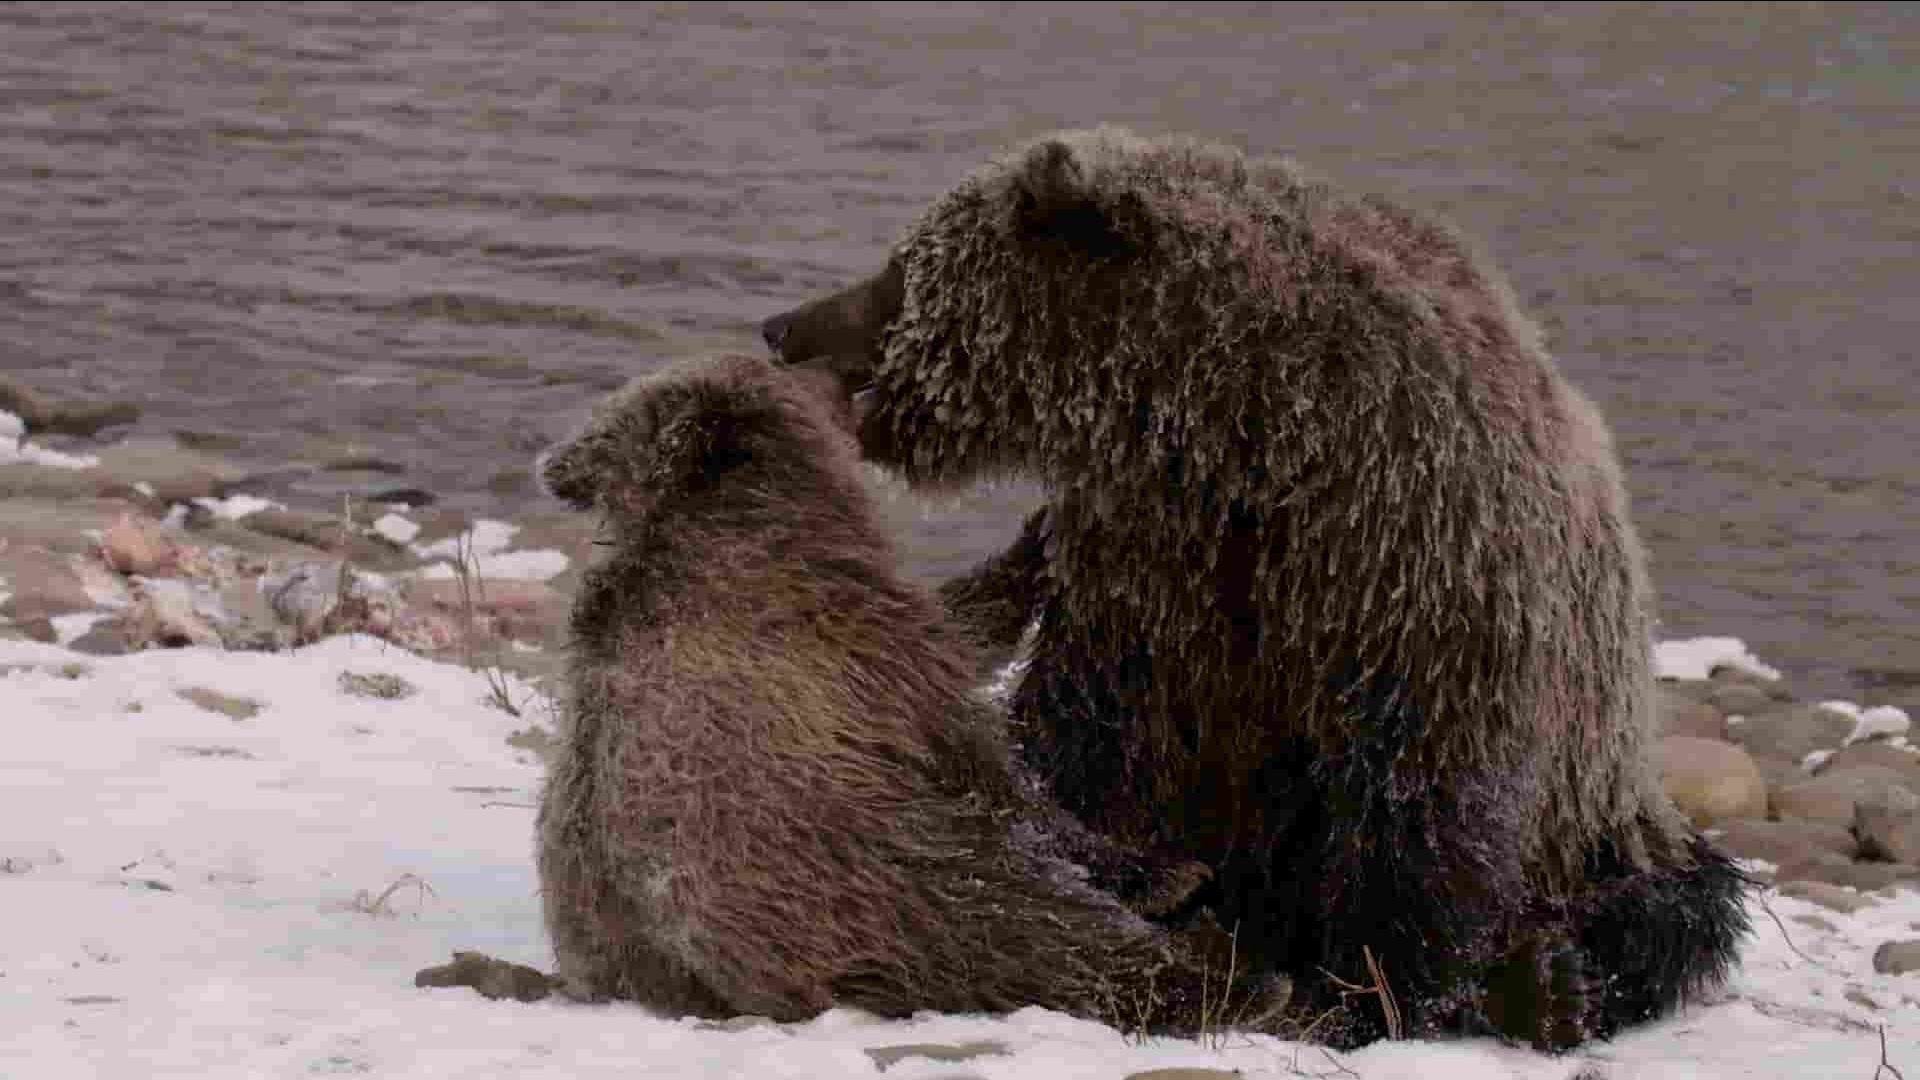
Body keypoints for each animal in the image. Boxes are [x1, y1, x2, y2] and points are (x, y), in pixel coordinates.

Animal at [533, 351, 1267, 1022]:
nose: (830, 367)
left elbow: (967, 627)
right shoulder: (860, 657)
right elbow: (997, 770)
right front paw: (1160, 871)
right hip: (864, 883)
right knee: (1025, 921)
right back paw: (1230, 983)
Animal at [756, 125, 1751, 1045]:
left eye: (902, 269)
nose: (782, 328)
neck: (1239, 426)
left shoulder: (1414, 545)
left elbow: (1420, 797)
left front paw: (1383, 987)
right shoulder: (1158, 569)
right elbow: (1103, 742)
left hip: (1603, 799)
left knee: (1672, 909)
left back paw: (1552, 977)